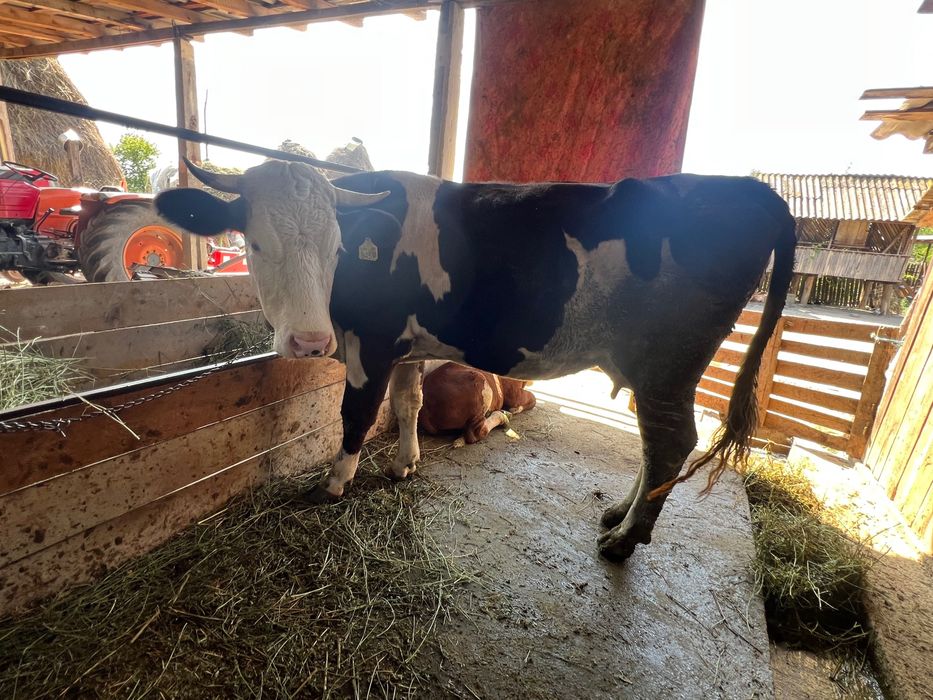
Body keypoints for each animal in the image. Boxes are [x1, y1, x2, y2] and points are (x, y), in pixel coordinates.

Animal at [155, 159, 796, 562]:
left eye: (339, 247)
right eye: (257, 242)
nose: (310, 343)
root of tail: (750, 189)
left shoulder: (373, 341)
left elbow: (357, 414)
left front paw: (333, 484)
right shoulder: (407, 346)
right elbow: (408, 402)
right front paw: (406, 463)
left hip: (670, 362)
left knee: (670, 442)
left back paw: (623, 541)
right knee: (656, 444)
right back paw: (617, 514)